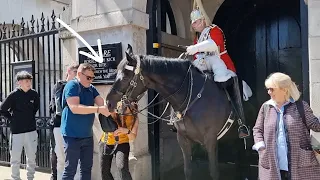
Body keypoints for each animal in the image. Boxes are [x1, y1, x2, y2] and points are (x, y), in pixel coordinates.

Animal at [105, 45, 248, 180]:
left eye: (125, 76)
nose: (109, 102)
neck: (193, 96)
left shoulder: (210, 139)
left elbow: (214, 172)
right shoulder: (183, 139)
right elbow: (187, 170)